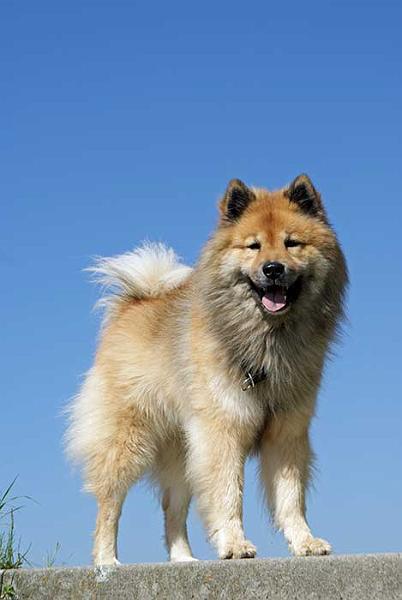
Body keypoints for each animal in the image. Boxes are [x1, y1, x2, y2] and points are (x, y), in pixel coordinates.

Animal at [64, 175, 348, 568]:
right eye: (253, 246)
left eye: (292, 243)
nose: (273, 269)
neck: (266, 339)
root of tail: (133, 304)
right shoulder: (223, 430)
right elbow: (228, 494)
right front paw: (235, 545)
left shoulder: (286, 432)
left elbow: (291, 498)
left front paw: (305, 542)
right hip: (129, 441)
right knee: (109, 503)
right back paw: (107, 561)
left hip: (183, 452)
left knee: (172, 508)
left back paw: (184, 559)